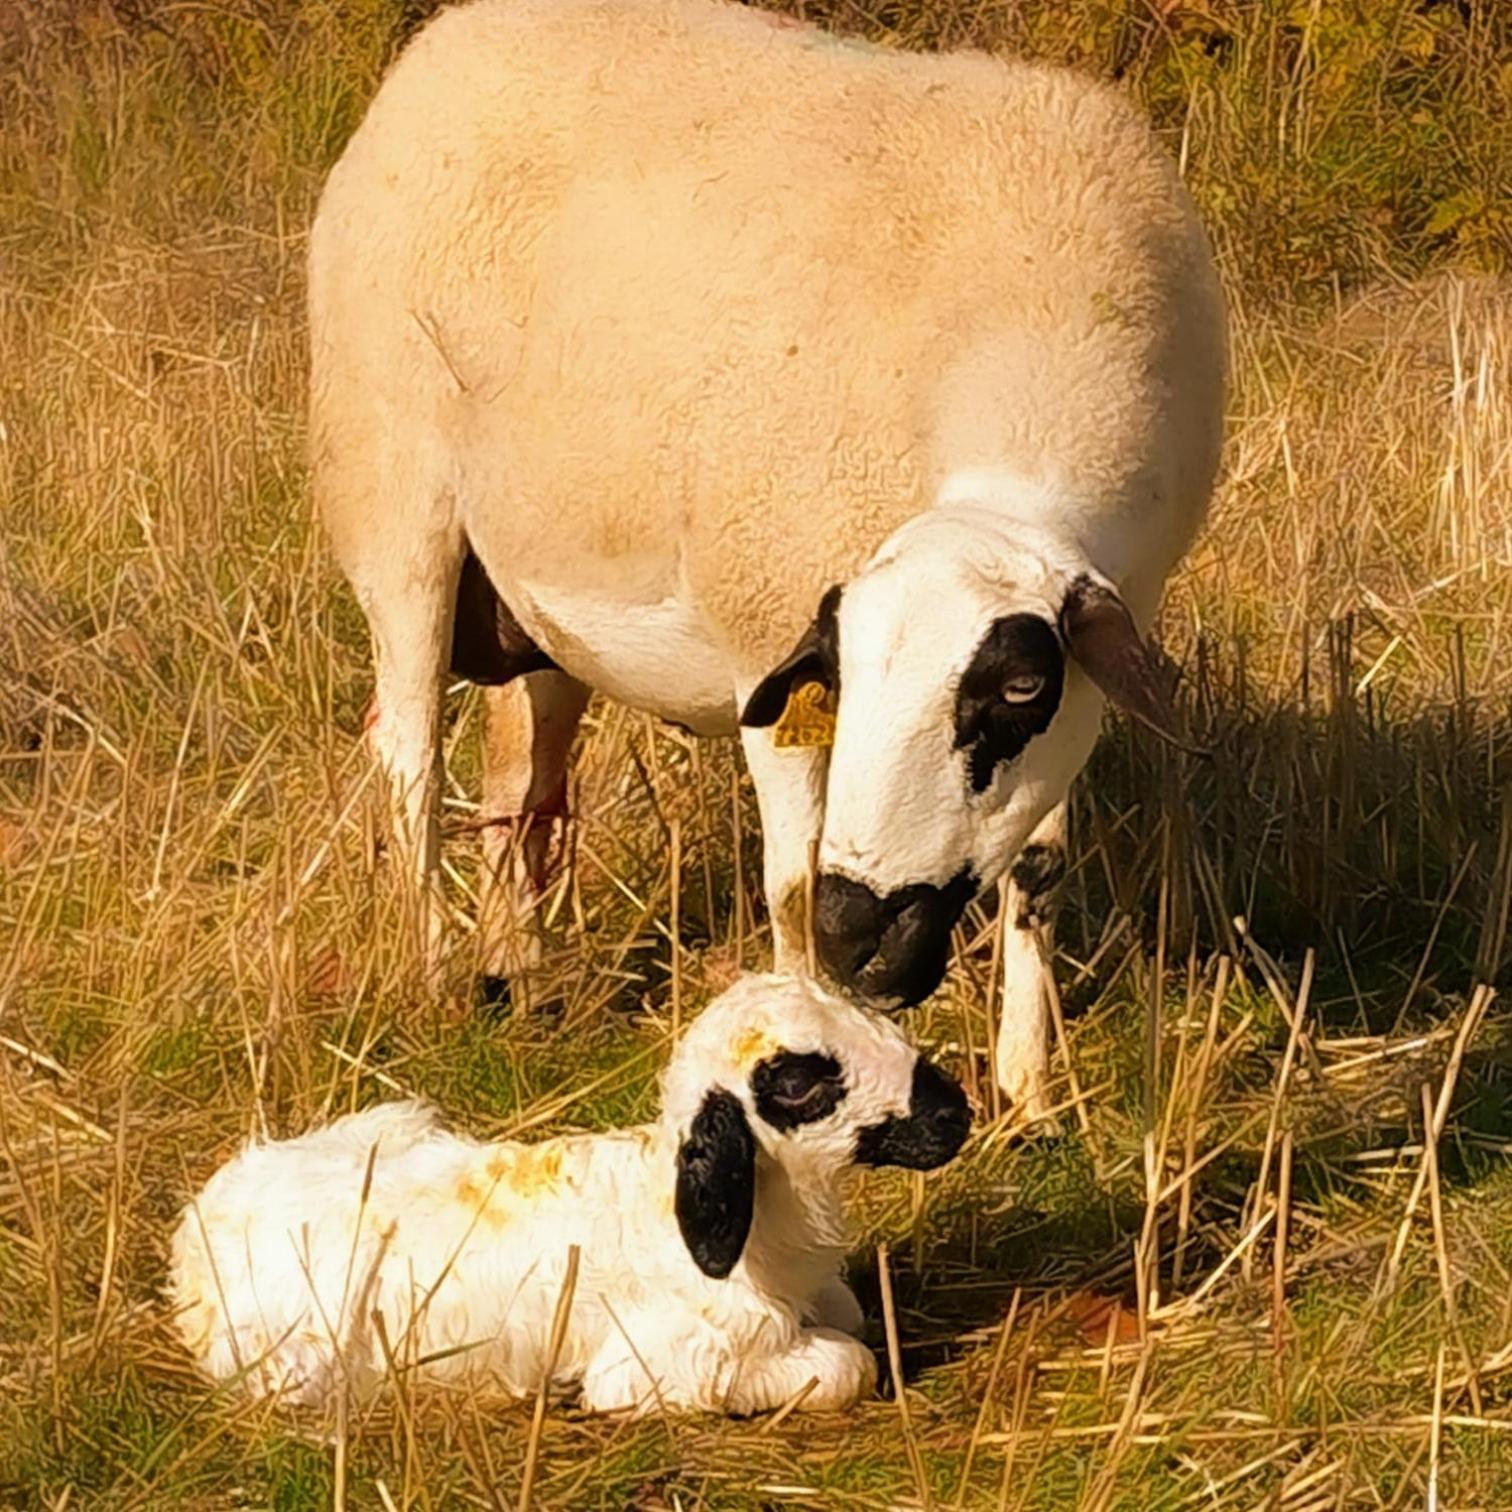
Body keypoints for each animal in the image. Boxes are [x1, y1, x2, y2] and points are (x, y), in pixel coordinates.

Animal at [165, 973, 967, 1409]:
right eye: (798, 1085)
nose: (954, 1113)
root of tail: (199, 1227)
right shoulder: (656, 1368)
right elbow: (847, 1363)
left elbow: (851, 1311)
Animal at [306, 0, 1227, 1118]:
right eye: (838, 670)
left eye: (1016, 690)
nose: (861, 933)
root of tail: (441, 45)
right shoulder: (767, 635)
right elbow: (788, 888)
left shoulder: (1091, 668)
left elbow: (1038, 872)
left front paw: (1030, 1092)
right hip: (395, 500)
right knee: (408, 755)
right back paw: (439, 977)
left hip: (534, 593)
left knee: (519, 782)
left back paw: (516, 972)